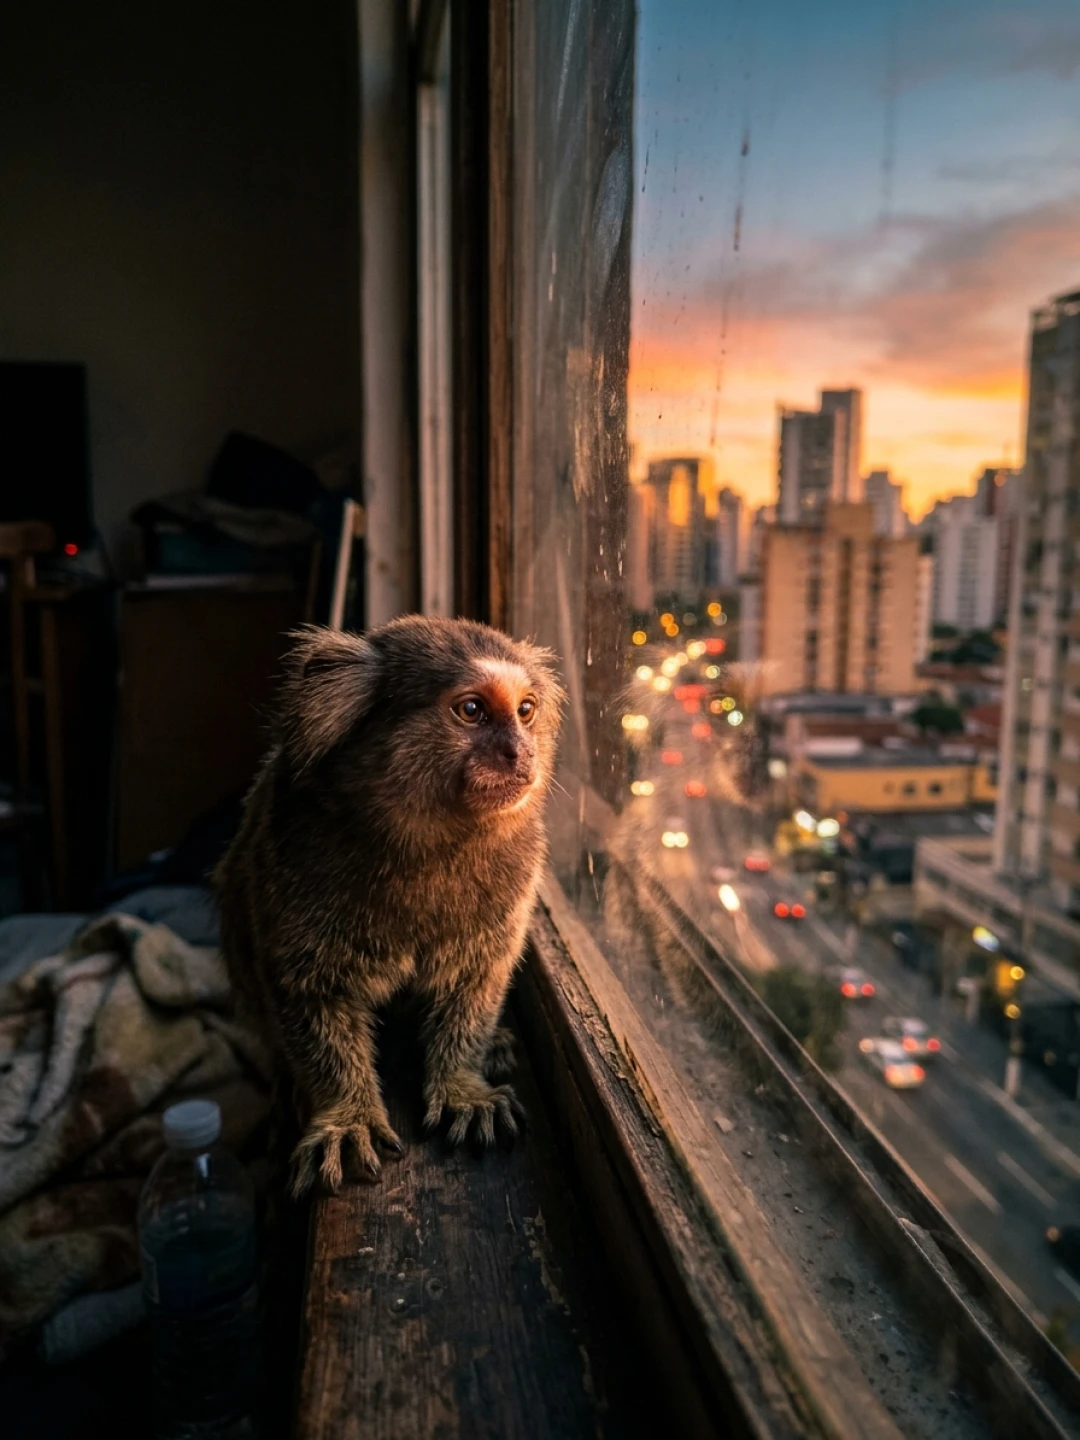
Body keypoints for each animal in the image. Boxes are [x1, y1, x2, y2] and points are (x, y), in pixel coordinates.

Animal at [213, 615, 564, 1198]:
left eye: (525, 711)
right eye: (471, 710)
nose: (520, 753)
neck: (427, 848)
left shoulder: (515, 881)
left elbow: (476, 986)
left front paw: (463, 1084)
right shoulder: (290, 854)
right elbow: (309, 1000)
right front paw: (344, 1116)